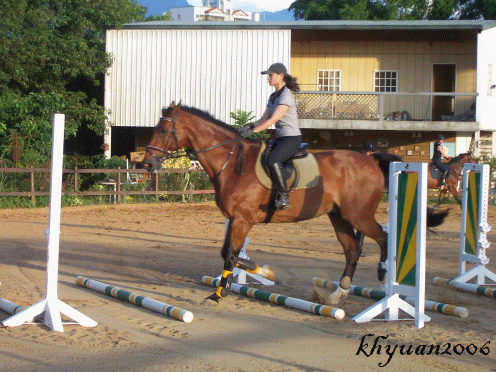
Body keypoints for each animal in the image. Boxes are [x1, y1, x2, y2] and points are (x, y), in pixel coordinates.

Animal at [141, 101, 444, 306]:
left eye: (164, 129)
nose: (146, 165)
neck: (232, 162)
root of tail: (369, 160)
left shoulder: (242, 219)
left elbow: (231, 255)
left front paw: (218, 294)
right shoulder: (235, 219)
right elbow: (230, 254)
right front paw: (261, 272)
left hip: (358, 215)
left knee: (383, 237)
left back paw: (382, 273)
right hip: (339, 217)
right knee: (352, 250)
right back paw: (337, 294)